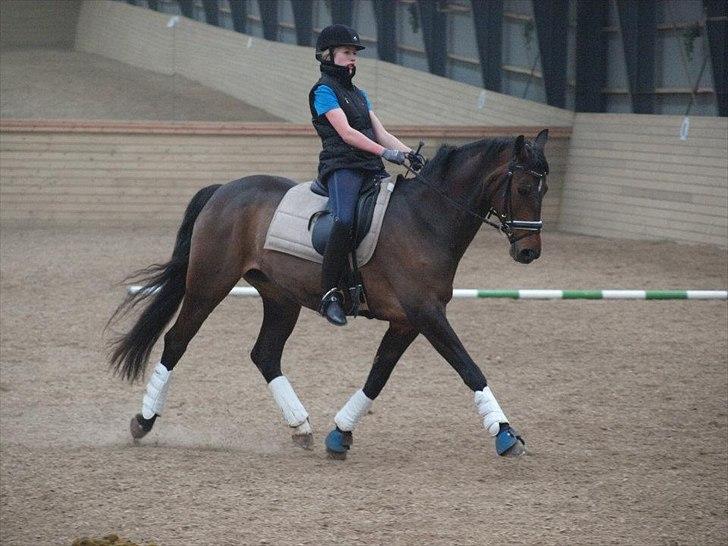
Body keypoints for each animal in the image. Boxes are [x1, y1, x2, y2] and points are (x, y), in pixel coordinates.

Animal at [108, 130, 548, 456]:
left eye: (544, 189)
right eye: (525, 186)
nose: (529, 252)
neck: (426, 219)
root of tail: (224, 190)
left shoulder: (407, 321)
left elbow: (377, 376)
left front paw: (340, 433)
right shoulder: (426, 313)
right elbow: (468, 367)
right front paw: (505, 434)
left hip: (280, 298)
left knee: (265, 354)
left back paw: (301, 426)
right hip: (208, 284)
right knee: (176, 341)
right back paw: (143, 421)